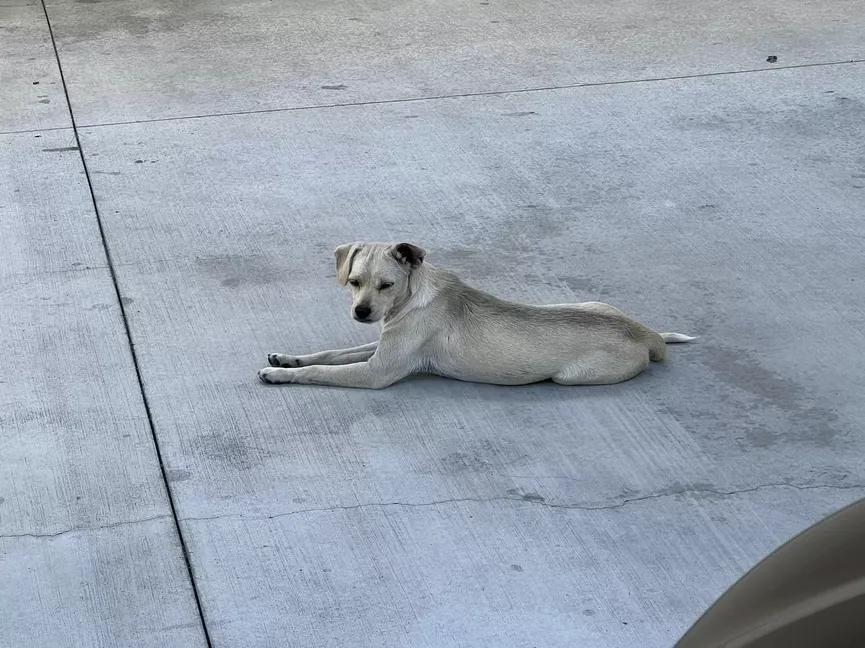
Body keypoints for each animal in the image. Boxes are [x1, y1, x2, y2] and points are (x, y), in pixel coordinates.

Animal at [258, 242, 696, 384]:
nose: (361, 312)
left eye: (387, 285)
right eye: (353, 281)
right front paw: (287, 358)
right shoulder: (380, 346)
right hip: (588, 302)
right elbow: (331, 353)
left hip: (571, 377)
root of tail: (646, 334)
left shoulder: (376, 372)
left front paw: (281, 375)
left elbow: (322, 370)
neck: (413, 296)